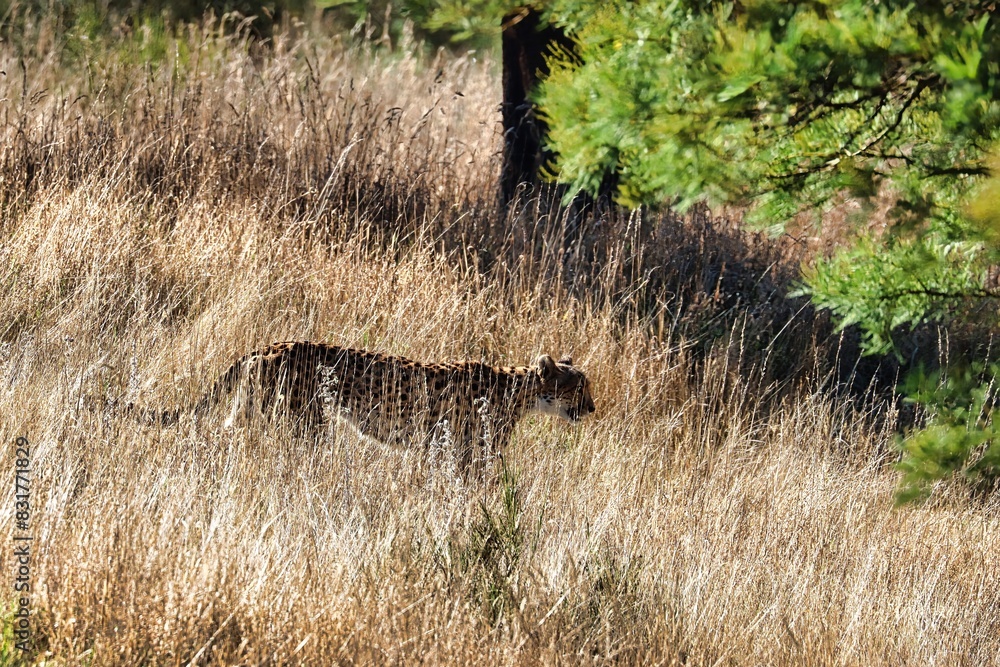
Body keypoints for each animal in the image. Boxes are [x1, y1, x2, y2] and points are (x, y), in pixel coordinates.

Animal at [142, 344, 596, 460]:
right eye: (579, 387)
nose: (592, 408)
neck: (522, 392)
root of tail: (269, 344)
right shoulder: (464, 452)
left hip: (252, 411)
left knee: (223, 433)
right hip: (305, 422)